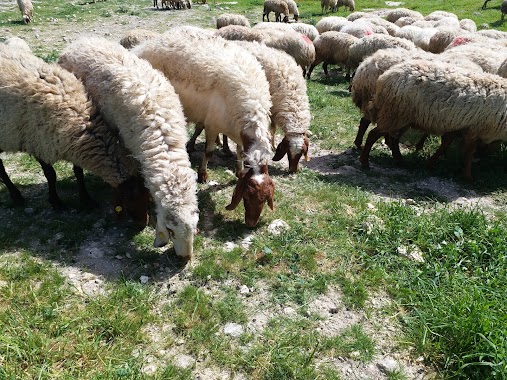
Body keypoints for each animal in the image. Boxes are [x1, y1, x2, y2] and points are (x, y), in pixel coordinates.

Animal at [0, 49, 149, 224]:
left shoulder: (73, 144)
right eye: (126, 200)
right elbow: (51, 175)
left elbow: (78, 172)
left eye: (147, 198)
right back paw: (16, 196)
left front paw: (86, 199)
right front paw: (56, 201)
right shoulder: (39, 144)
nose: (143, 224)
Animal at [133, 36, 276, 226]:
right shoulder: (212, 125)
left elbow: (239, 152)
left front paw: (239, 171)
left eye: (265, 198)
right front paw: (202, 175)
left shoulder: (238, 131)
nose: (251, 224)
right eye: (245, 196)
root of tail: (143, 45)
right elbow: (208, 152)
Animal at [362, 59, 507, 181]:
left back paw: (399, 161)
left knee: (393, 138)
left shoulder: (458, 127)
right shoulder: (474, 129)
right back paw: (365, 163)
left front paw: (430, 164)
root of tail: (385, 76)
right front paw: (468, 177)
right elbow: (468, 154)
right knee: (373, 135)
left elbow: (445, 146)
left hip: (401, 117)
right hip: (395, 114)